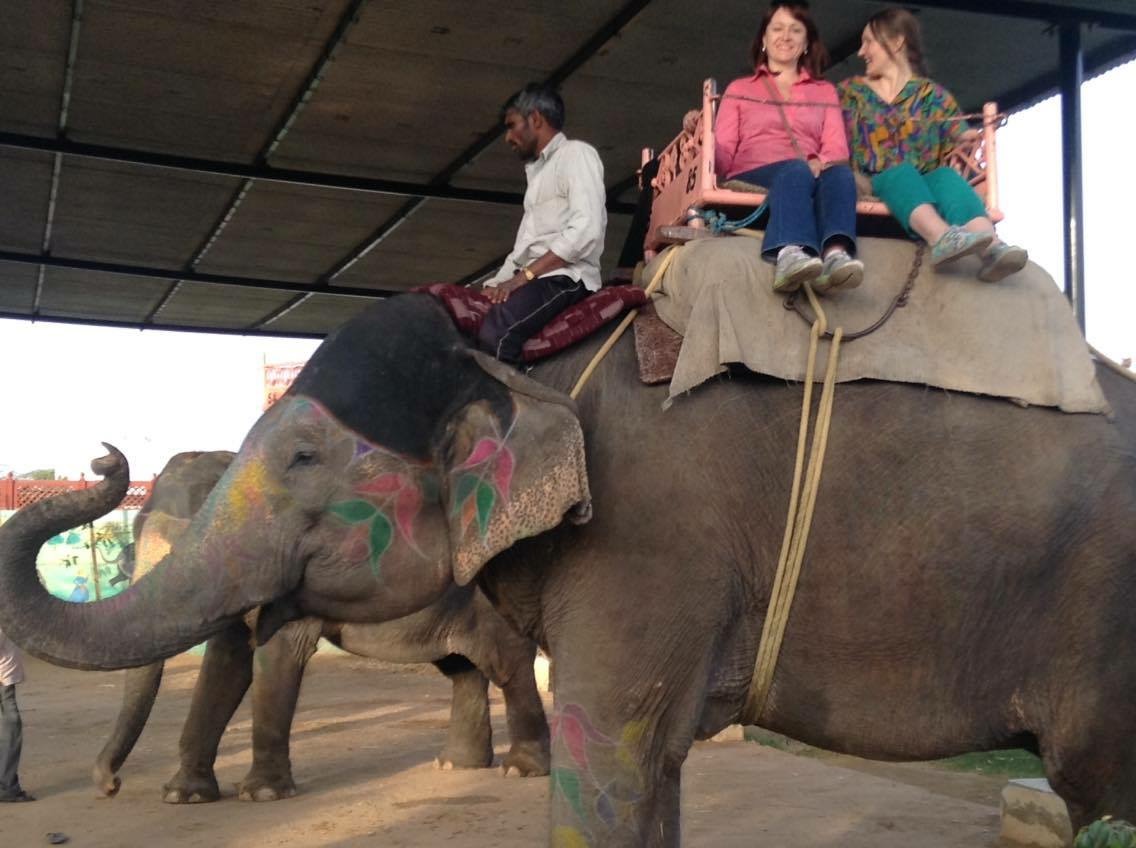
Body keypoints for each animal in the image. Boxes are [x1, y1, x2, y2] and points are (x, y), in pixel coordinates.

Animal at [92, 450, 549, 802]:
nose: (110, 785)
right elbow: (226, 662)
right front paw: (182, 795)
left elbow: (276, 651)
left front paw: (262, 794)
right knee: (462, 669)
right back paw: (456, 764)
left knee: (507, 665)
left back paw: (520, 770)